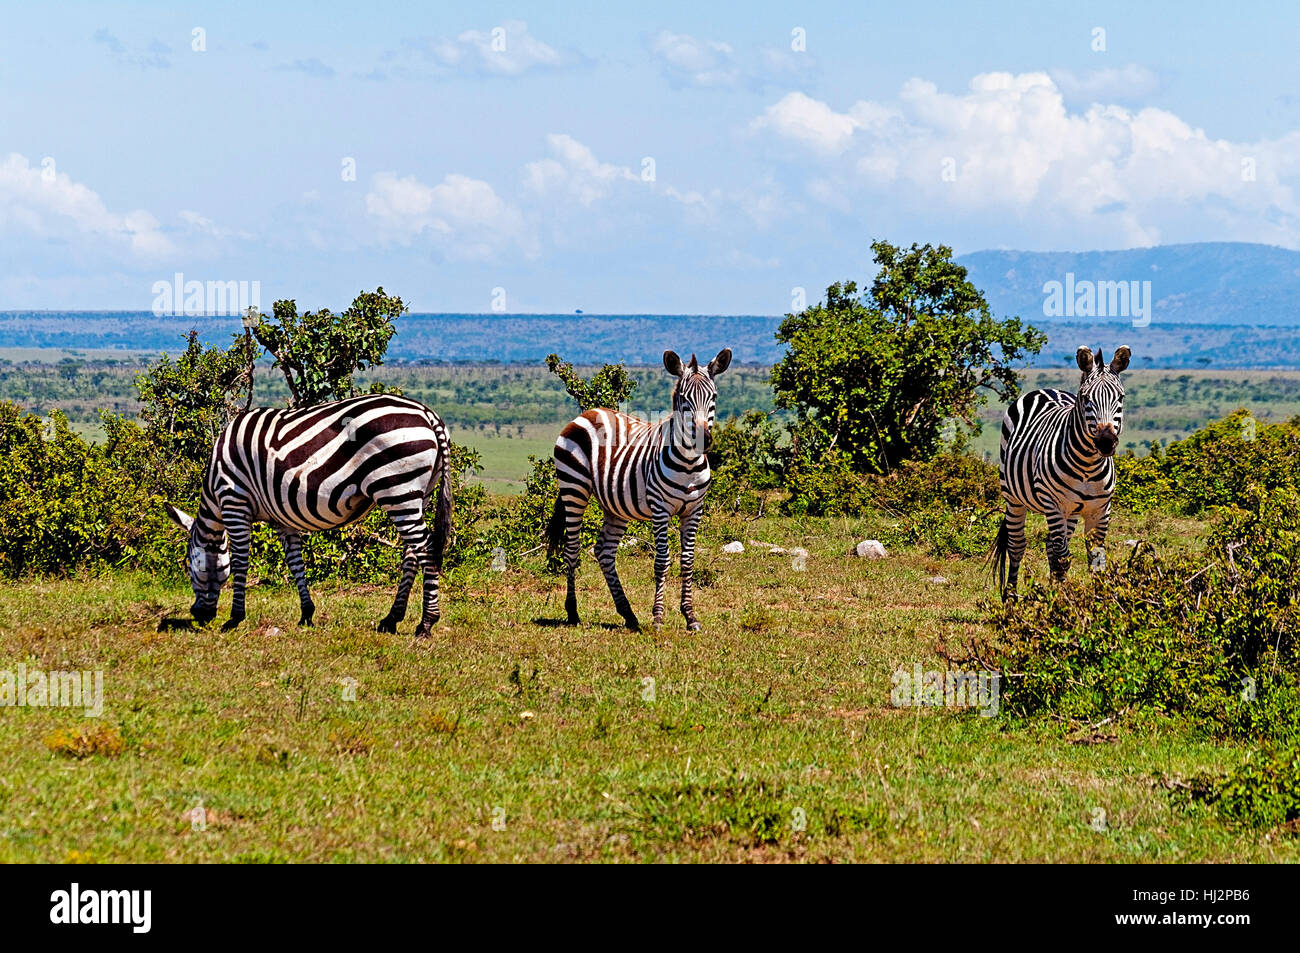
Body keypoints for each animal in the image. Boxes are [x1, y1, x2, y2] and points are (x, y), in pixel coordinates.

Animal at [164, 393, 454, 636]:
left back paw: (426, 623)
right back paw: (391, 619)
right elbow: (295, 562)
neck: (215, 482)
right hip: (418, 494)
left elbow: (240, 562)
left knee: (426, 549)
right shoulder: (282, 518)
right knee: (412, 554)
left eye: (190, 566)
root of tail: (428, 414)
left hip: (397, 488)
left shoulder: (234, 502)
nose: (198, 615)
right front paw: (306, 614)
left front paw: (235, 618)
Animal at [545, 348, 731, 631]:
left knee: (604, 552)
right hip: (573, 486)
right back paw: (573, 612)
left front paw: (690, 616)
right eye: (683, 399)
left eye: (714, 397)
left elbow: (688, 561)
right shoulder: (660, 509)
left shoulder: (694, 510)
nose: (704, 440)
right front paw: (658, 618)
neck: (688, 463)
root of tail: (589, 412)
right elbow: (662, 561)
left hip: (614, 505)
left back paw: (628, 614)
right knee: (572, 549)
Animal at [991, 344, 1130, 600]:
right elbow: (1063, 558)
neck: (1088, 465)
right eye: (1085, 398)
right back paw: (1011, 598)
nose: (1106, 442)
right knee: (1018, 545)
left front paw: (1097, 601)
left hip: (1071, 511)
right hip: (1014, 498)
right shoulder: (1054, 504)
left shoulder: (1100, 510)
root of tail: (1045, 390)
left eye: (1120, 398)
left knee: (1050, 546)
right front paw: (1064, 600)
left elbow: (1096, 558)